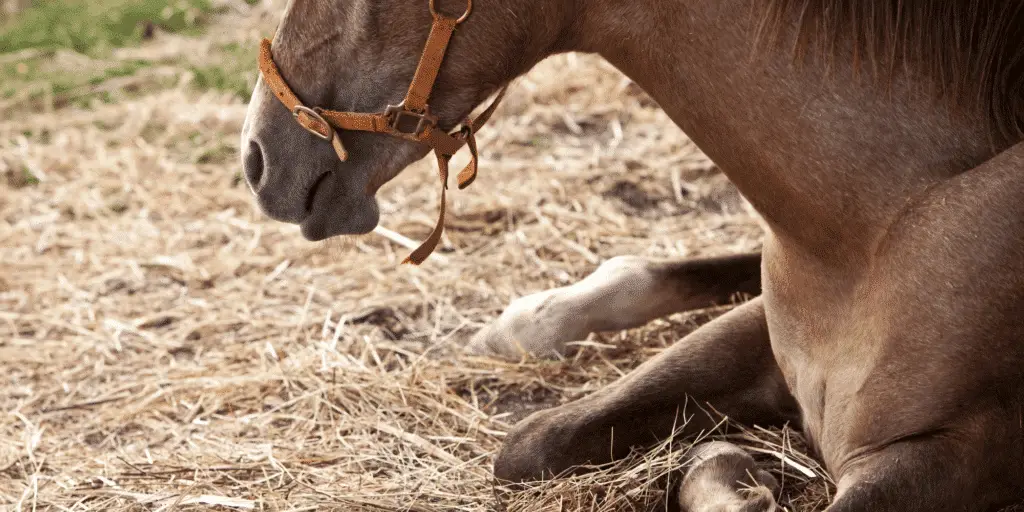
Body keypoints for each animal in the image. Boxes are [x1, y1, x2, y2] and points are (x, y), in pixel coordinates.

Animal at [239, 2, 1024, 509]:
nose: (257, 157)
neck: (876, 225)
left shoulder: (956, 455)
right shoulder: (762, 336)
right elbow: (531, 440)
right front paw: (731, 468)